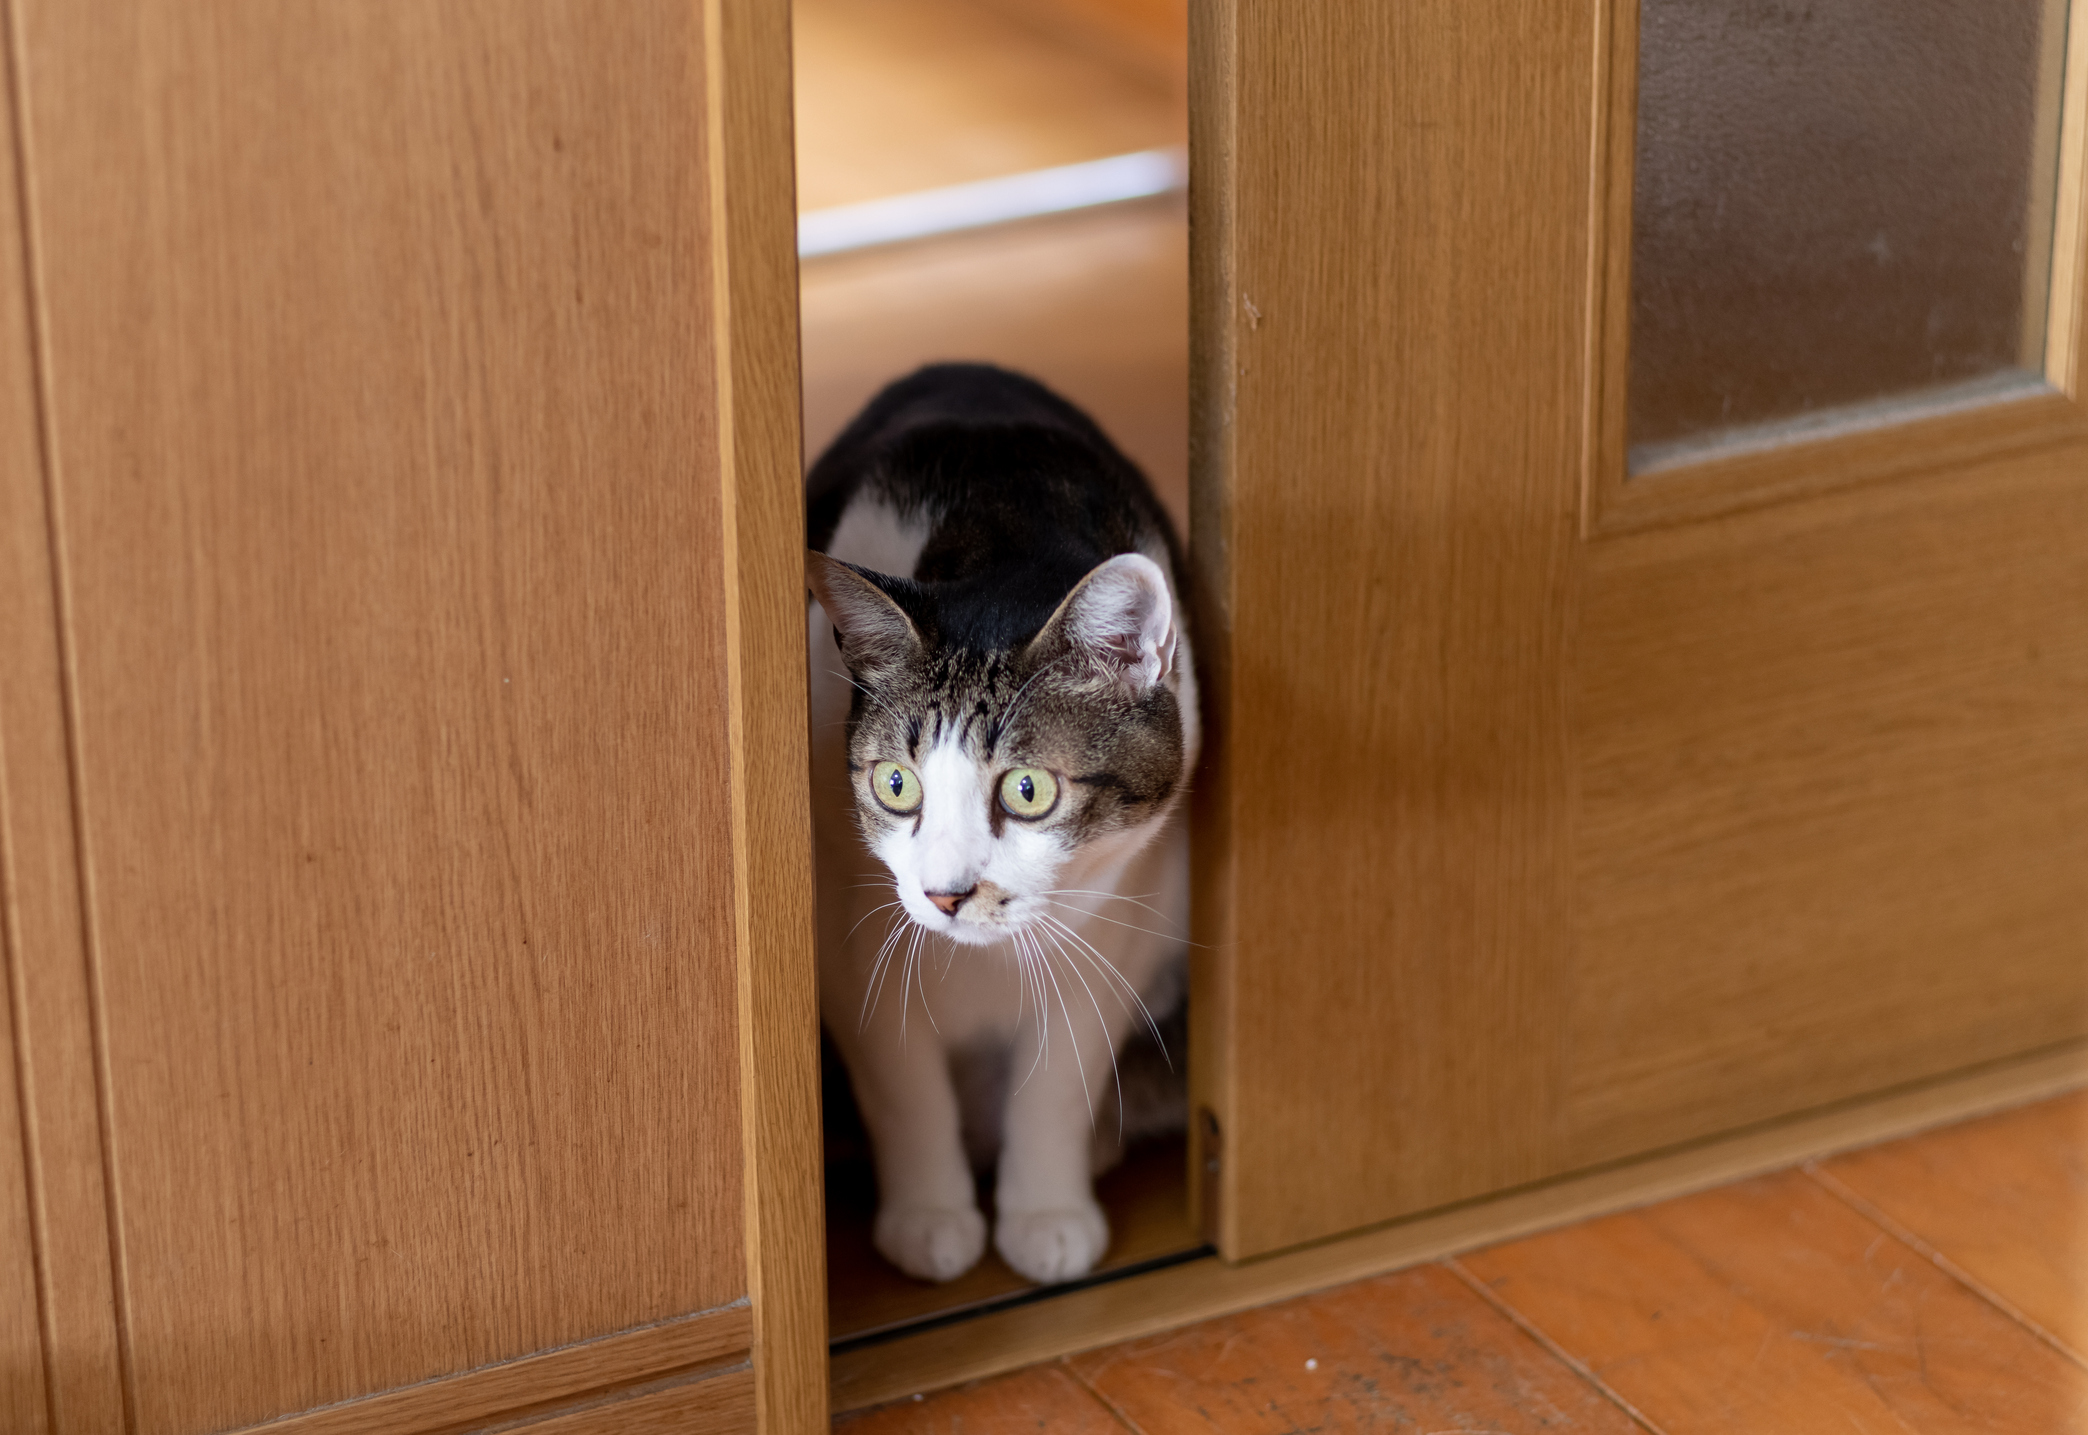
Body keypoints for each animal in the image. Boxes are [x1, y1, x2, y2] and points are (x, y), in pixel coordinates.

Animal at [801, 365, 1194, 1286]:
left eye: (1027, 789)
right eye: (896, 783)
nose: (948, 895)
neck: (1001, 520)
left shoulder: (1126, 899)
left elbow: (1061, 1073)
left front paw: (1046, 1212)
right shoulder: (843, 919)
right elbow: (900, 1076)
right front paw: (928, 1217)